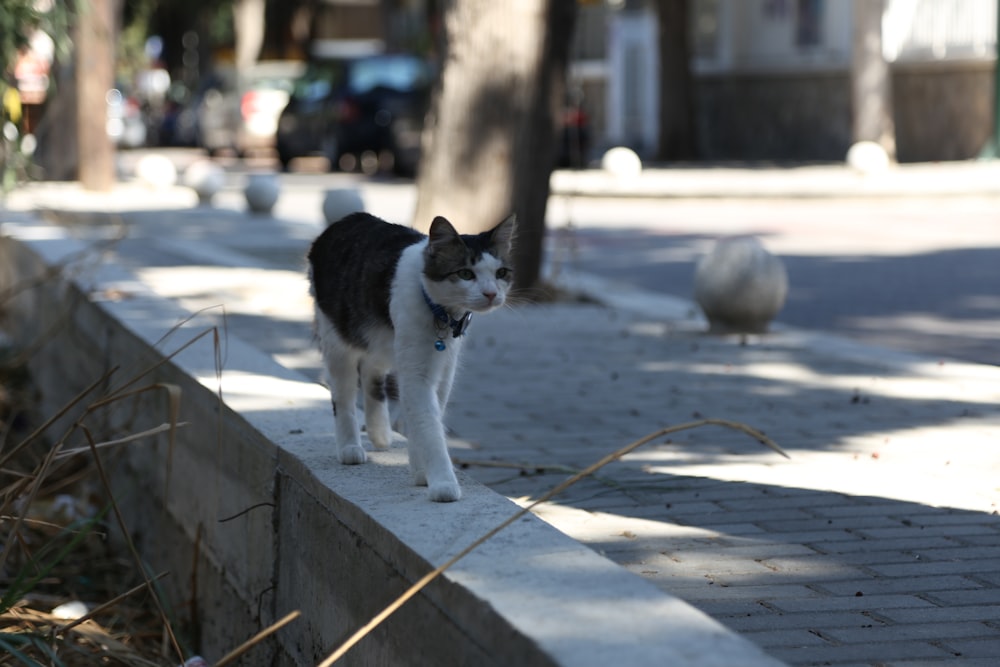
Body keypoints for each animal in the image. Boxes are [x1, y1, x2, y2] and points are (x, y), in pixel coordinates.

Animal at [308, 213, 516, 500]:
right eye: (465, 273)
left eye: (501, 273)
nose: (491, 294)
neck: (439, 311)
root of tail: (346, 219)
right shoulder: (417, 374)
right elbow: (429, 426)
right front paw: (442, 483)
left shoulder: (444, 369)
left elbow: (424, 420)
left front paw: (420, 472)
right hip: (337, 338)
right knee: (344, 395)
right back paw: (350, 447)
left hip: (381, 342)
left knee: (372, 372)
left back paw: (380, 433)